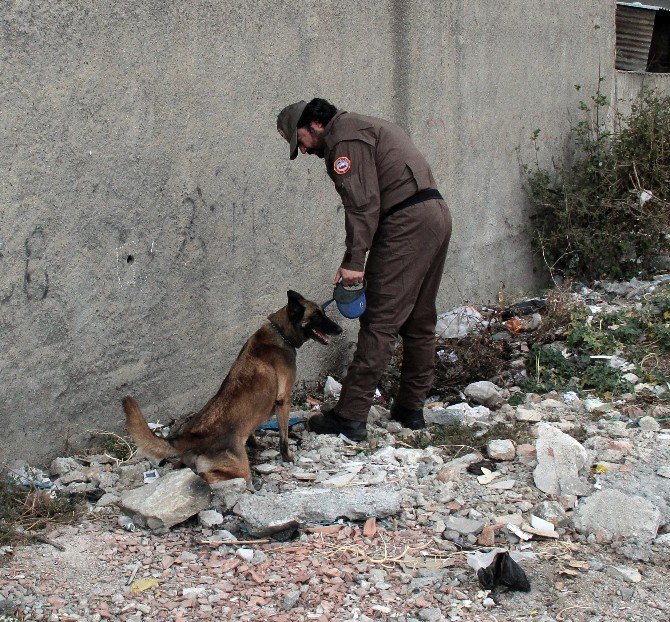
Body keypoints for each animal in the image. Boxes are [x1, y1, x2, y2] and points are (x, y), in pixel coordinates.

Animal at [122, 290, 342, 486]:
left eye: (323, 312)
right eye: (316, 316)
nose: (340, 329)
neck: (281, 332)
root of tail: (189, 437)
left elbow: (252, 431)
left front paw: (254, 444)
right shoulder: (284, 401)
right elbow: (284, 438)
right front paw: (287, 457)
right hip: (240, 470)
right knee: (208, 476)